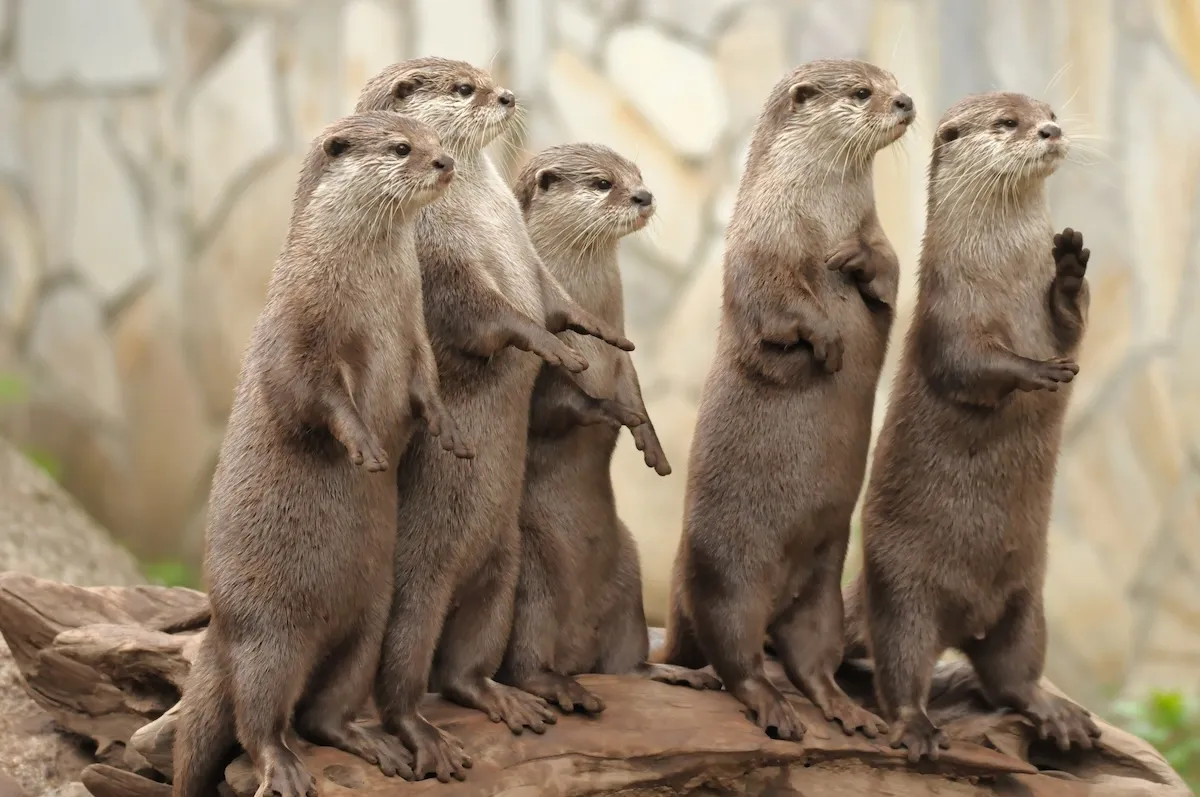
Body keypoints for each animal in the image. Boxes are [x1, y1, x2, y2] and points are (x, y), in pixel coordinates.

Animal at [172, 111, 472, 797]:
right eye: (402, 147)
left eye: (434, 139)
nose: (445, 162)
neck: (371, 298)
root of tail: (219, 628)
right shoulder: (297, 325)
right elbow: (307, 393)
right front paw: (363, 445)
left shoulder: (414, 334)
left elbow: (426, 385)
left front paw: (447, 428)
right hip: (269, 635)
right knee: (258, 718)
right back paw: (283, 767)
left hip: (368, 619)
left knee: (323, 711)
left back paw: (378, 742)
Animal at [353, 59, 636, 783]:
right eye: (463, 88)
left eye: (485, 75)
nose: (508, 95)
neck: (480, 214)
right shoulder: (436, 257)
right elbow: (486, 314)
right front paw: (547, 346)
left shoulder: (528, 257)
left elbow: (555, 300)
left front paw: (588, 329)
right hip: (416, 585)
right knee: (401, 678)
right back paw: (424, 738)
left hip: (505, 572)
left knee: (463, 668)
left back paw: (503, 696)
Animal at [496, 143, 721, 714]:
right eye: (603, 183)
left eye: (637, 174)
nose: (645, 195)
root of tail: (575, 654)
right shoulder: (542, 368)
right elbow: (564, 408)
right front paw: (614, 414)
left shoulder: (623, 354)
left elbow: (635, 387)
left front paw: (652, 441)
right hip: (530, 582)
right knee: (522, 663)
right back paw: (561, 689)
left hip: (629, 578)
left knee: (626, 662)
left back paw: (673, 672)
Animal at [653, 59, 914, 743]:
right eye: (862, 92)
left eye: (892, 79)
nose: (906, 101)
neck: (816, 218)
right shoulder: (757, 250)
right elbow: (778, 304)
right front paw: (827, 340)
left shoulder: (879, 236)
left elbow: (890, 270)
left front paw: (857, 261)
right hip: (724, 575)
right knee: (735, 659)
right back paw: (768, 710)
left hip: (821, 587)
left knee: (810, 660)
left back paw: (850, 712)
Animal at [842, 91, 1101, 761]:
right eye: (1007, 123)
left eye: (1048, 108)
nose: (1050, 129)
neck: (1004, 279)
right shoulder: (945, 313)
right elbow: (969, 365)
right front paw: (1035, 370)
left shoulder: (1052, 318)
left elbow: (1073, 324)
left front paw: (1069, 266)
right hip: (901, 588)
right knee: (900, 666)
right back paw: (916, 729)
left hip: (1028, 600)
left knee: (1012, 676)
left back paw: (1057, 714)